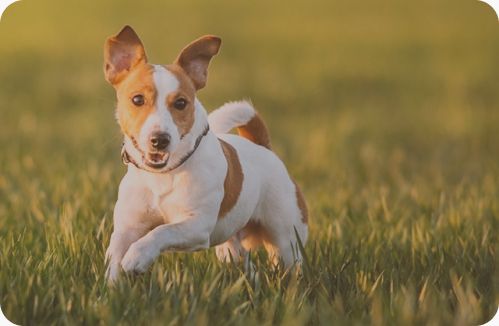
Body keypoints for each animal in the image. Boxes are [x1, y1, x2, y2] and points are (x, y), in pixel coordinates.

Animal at [103, 25, 308, 282]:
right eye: (137, 99)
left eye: (181, 103)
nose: (160, 140)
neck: (163, 175)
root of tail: (262, 146)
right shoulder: (127, 227)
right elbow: (116, 256)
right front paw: (112, 286)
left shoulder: (197, 226)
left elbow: (162, 231)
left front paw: (137, 256)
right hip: (231, 248)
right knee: (242, 262)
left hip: (286, 239)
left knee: (288, 261)